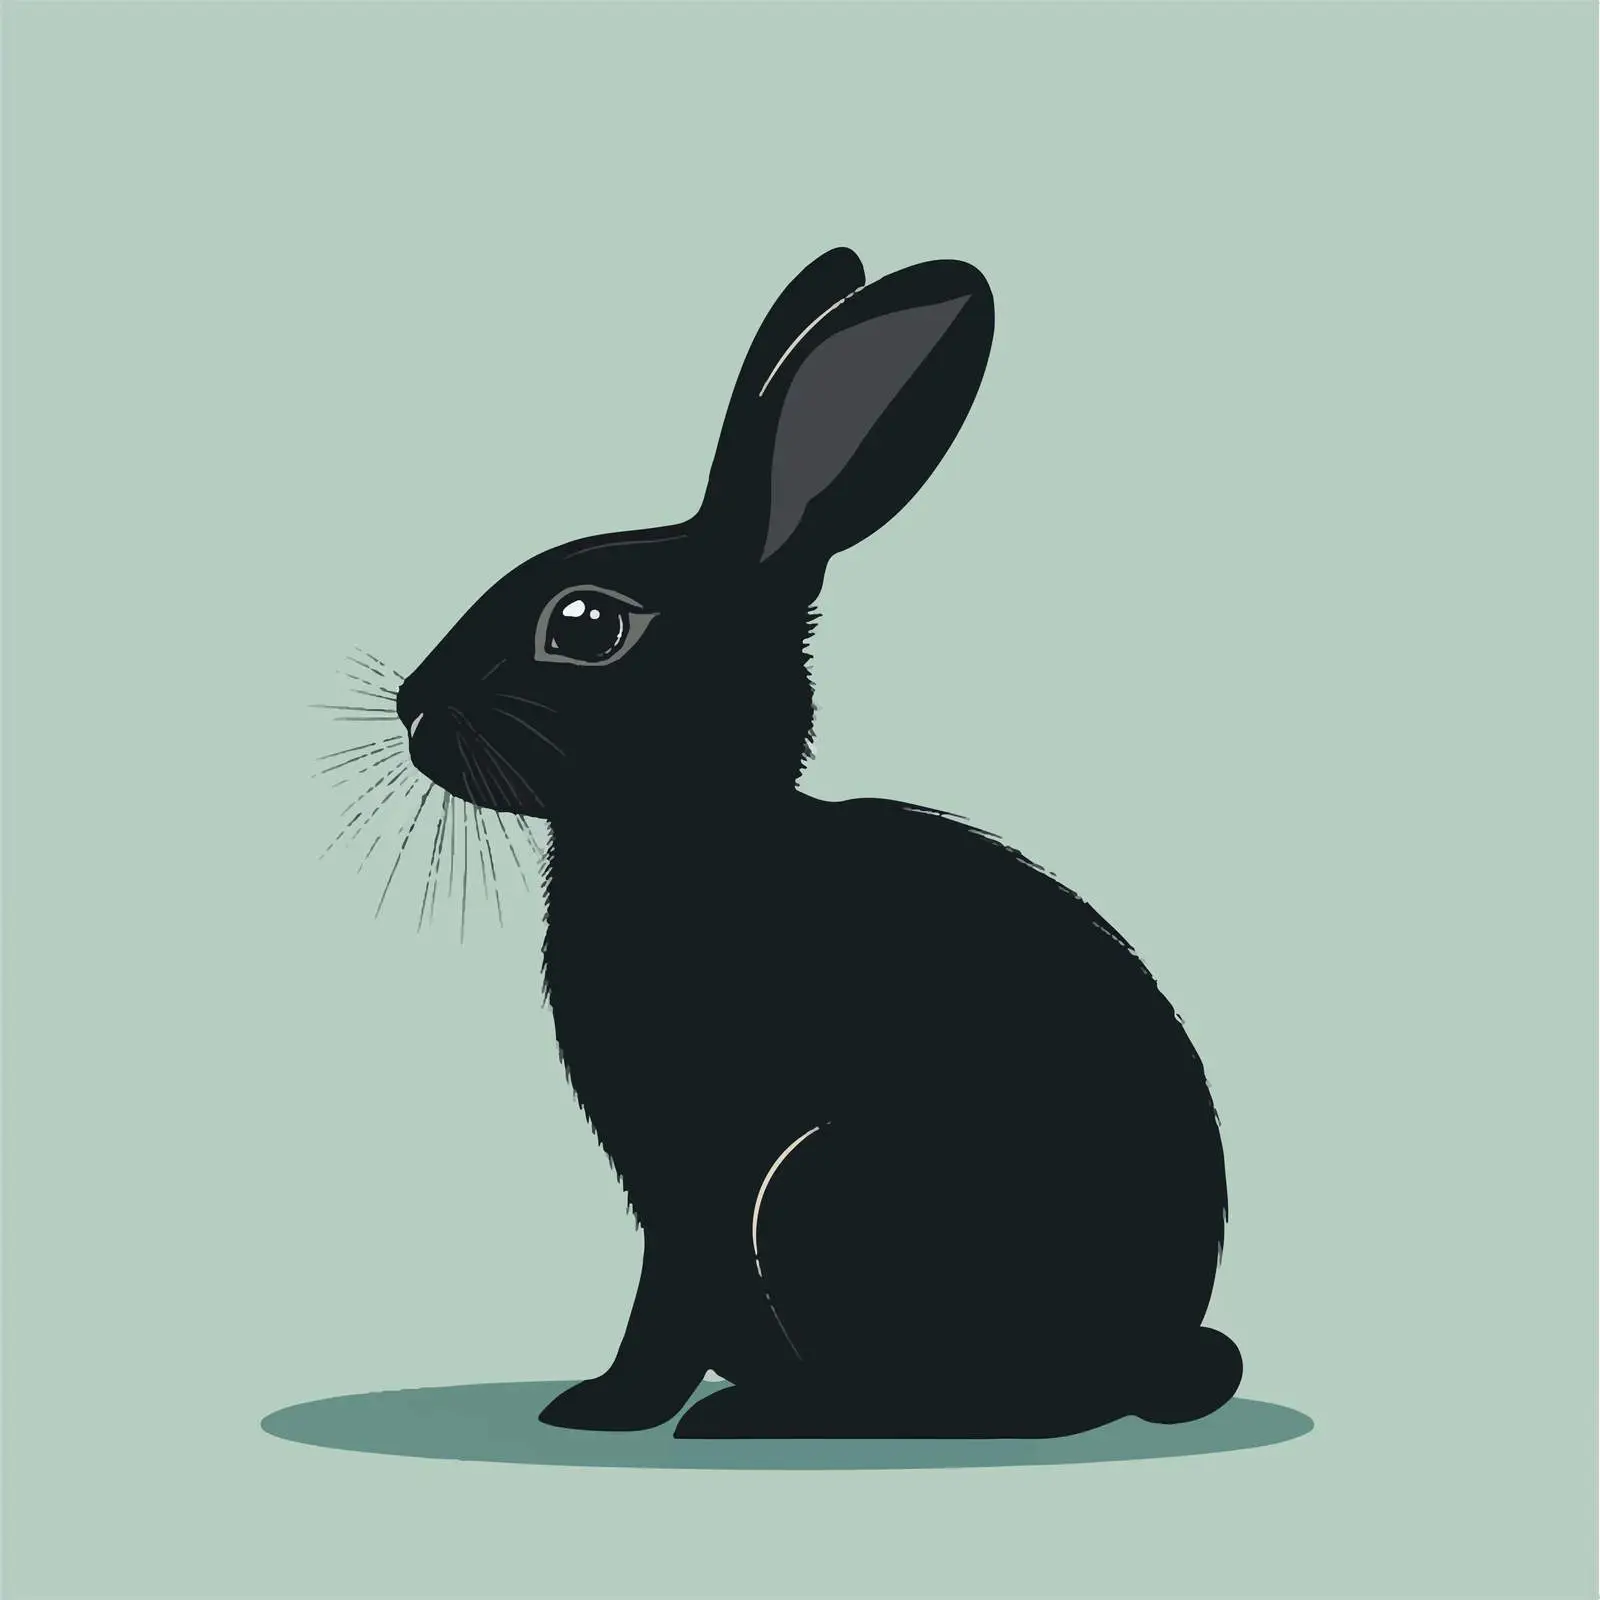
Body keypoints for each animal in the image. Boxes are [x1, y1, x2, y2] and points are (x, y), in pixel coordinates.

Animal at [393, 248, 1241, 1439]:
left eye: (585, 625)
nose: (410, 706)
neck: (692, 832)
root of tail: (1144, 1357)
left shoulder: (698, 1173)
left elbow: (667, 1297)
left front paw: (606, 1407)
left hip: (823, 1189)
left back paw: (759, 1416)